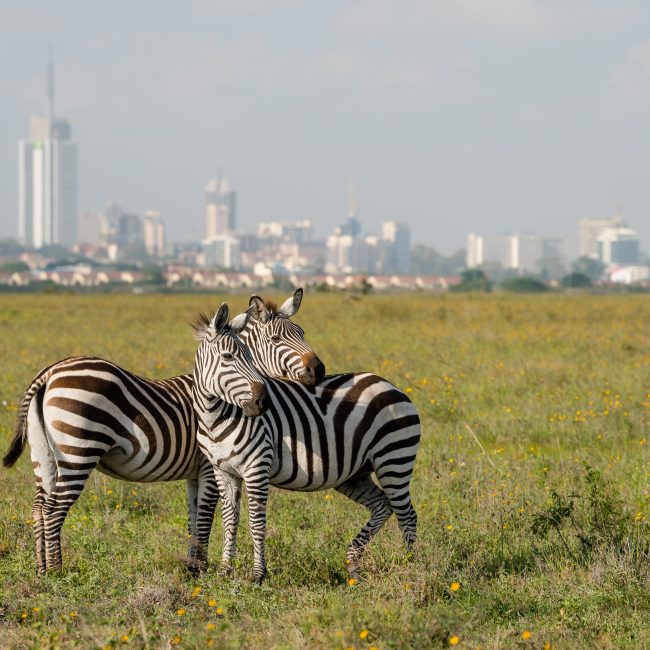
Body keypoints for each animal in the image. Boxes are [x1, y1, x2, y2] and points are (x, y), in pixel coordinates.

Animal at [2, 303, 269, 575]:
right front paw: (201, 569)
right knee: (53, 510)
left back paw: (41, 569)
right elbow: (204, 518)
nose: (263, 401)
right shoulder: (209, 466)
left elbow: (193, 519)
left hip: (43, 454)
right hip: (77, 452)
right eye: (229, 357)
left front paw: (191, 568)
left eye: (250, 357)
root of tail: (50, 372)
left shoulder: (195, 473)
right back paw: (57, 571)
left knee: (39, 507)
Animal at [193, 303, 421, 584]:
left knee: (407, 514)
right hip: (355, 474)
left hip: (394, 459)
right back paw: (353, 563)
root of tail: (391, 385)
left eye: (249, 357)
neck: (216, 417)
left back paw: (410, 568)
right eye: (227, 357)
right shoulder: (223, 471)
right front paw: (225, 571)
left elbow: (256, 522)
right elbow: (229, 520)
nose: (263, 402)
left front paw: (258, 575)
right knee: (383, 505)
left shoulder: (257, 468)